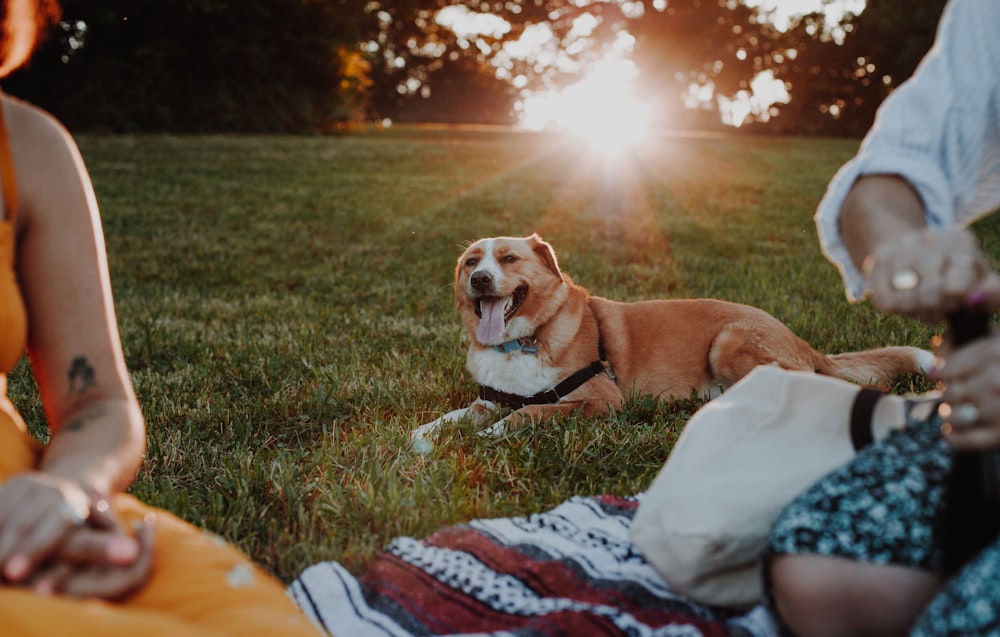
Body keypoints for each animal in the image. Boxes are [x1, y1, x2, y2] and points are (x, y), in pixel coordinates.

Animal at [410, 236, 932, 440]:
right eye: (471, 262)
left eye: (509, 259)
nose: (479, 280)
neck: (522, 341)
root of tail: (801, 340)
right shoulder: (489, 398)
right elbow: (455, 416)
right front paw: (424, 434)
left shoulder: (601, 401)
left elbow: (533, 411)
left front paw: (494, 435)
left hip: (730, 342)